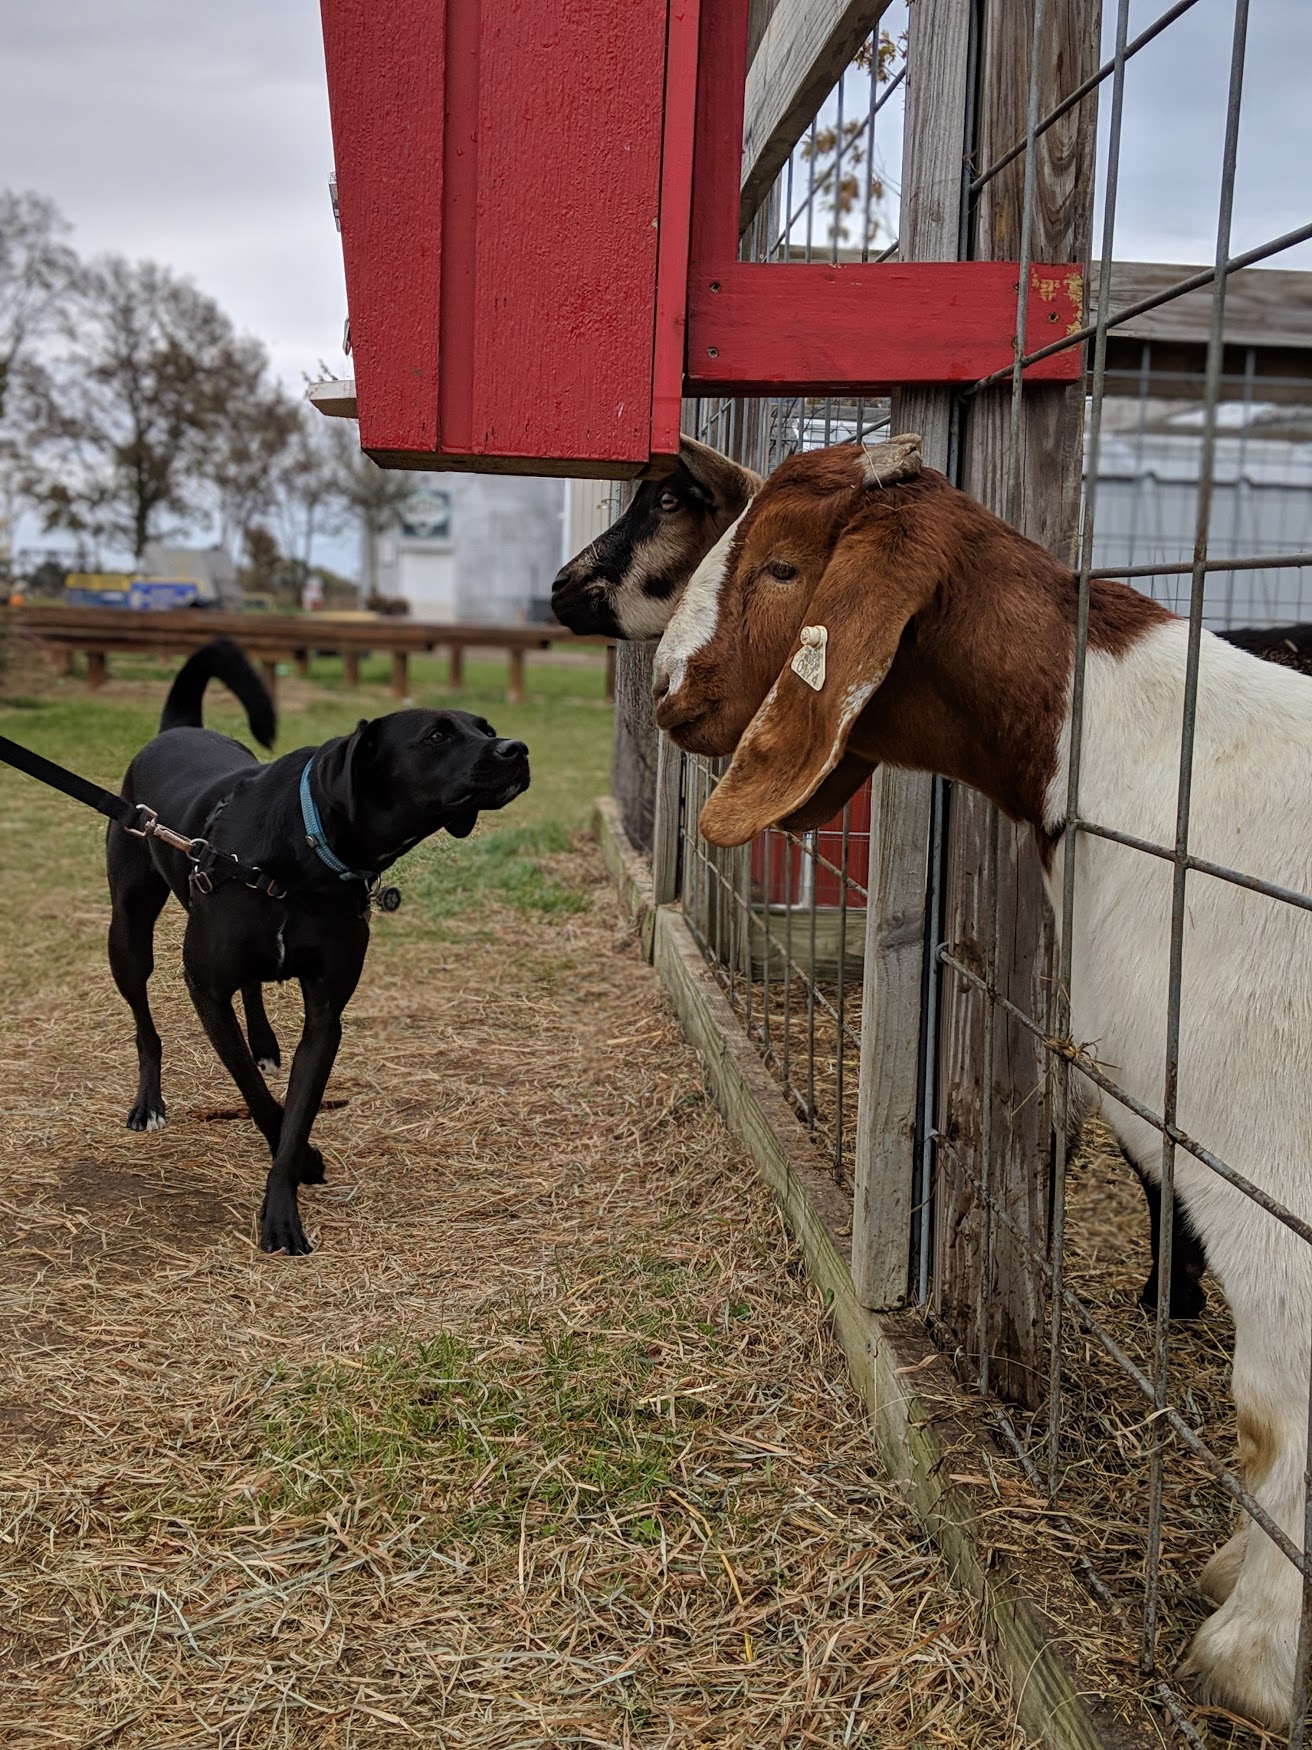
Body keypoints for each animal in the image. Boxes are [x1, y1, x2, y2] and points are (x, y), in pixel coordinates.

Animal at [107, 639, 530, 1254]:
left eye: (486, 728)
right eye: (437, 736)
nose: (516, 748)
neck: (309, 853)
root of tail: (178, 728)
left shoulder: (326, 1013)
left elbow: (297, 1107)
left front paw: (285, 1204)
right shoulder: (205, 988)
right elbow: (257, 1093)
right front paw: (300, 1163)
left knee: (252, 989)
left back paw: (263, 1041)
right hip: (129, 931)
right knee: (145, 1020)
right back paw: (149, 1104)